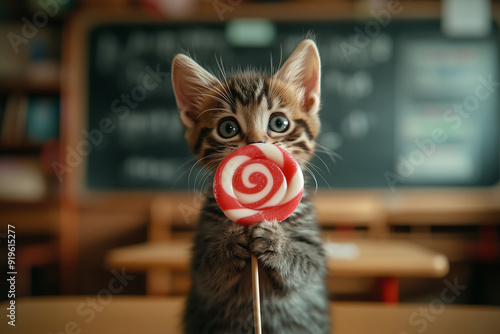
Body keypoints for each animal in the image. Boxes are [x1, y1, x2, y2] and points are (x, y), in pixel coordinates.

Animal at [172, 39, 332, 334]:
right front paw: (232, 242)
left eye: (279, 123)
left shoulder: (313, 250)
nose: (256, 143)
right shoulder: (200, 260)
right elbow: (206, 271)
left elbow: (307, 266)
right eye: (228, 128)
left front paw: (275, 242)